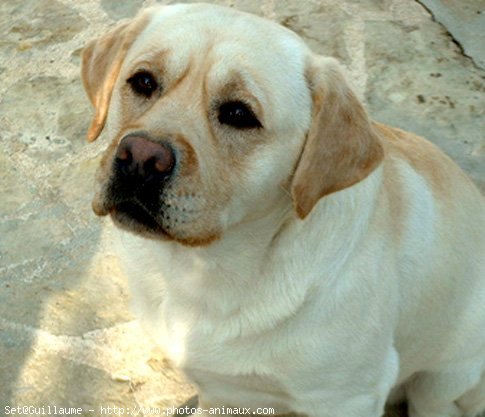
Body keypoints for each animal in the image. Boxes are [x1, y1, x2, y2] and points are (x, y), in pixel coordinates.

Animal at [81, 4, 484, 416]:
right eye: (144, 82)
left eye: (239, 113)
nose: (140, 158)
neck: (203, 273)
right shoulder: (220, 389)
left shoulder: (350, 397)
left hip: (442, 381)